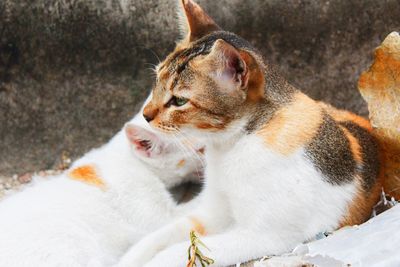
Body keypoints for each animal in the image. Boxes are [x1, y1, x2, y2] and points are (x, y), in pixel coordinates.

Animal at [117, 1, 382, 266]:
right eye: (157, 80)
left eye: (179, 101)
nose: (146, 114)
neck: (230, 146)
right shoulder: (210, 213)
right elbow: (155, 239)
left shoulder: (265, 235)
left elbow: (177, 252)